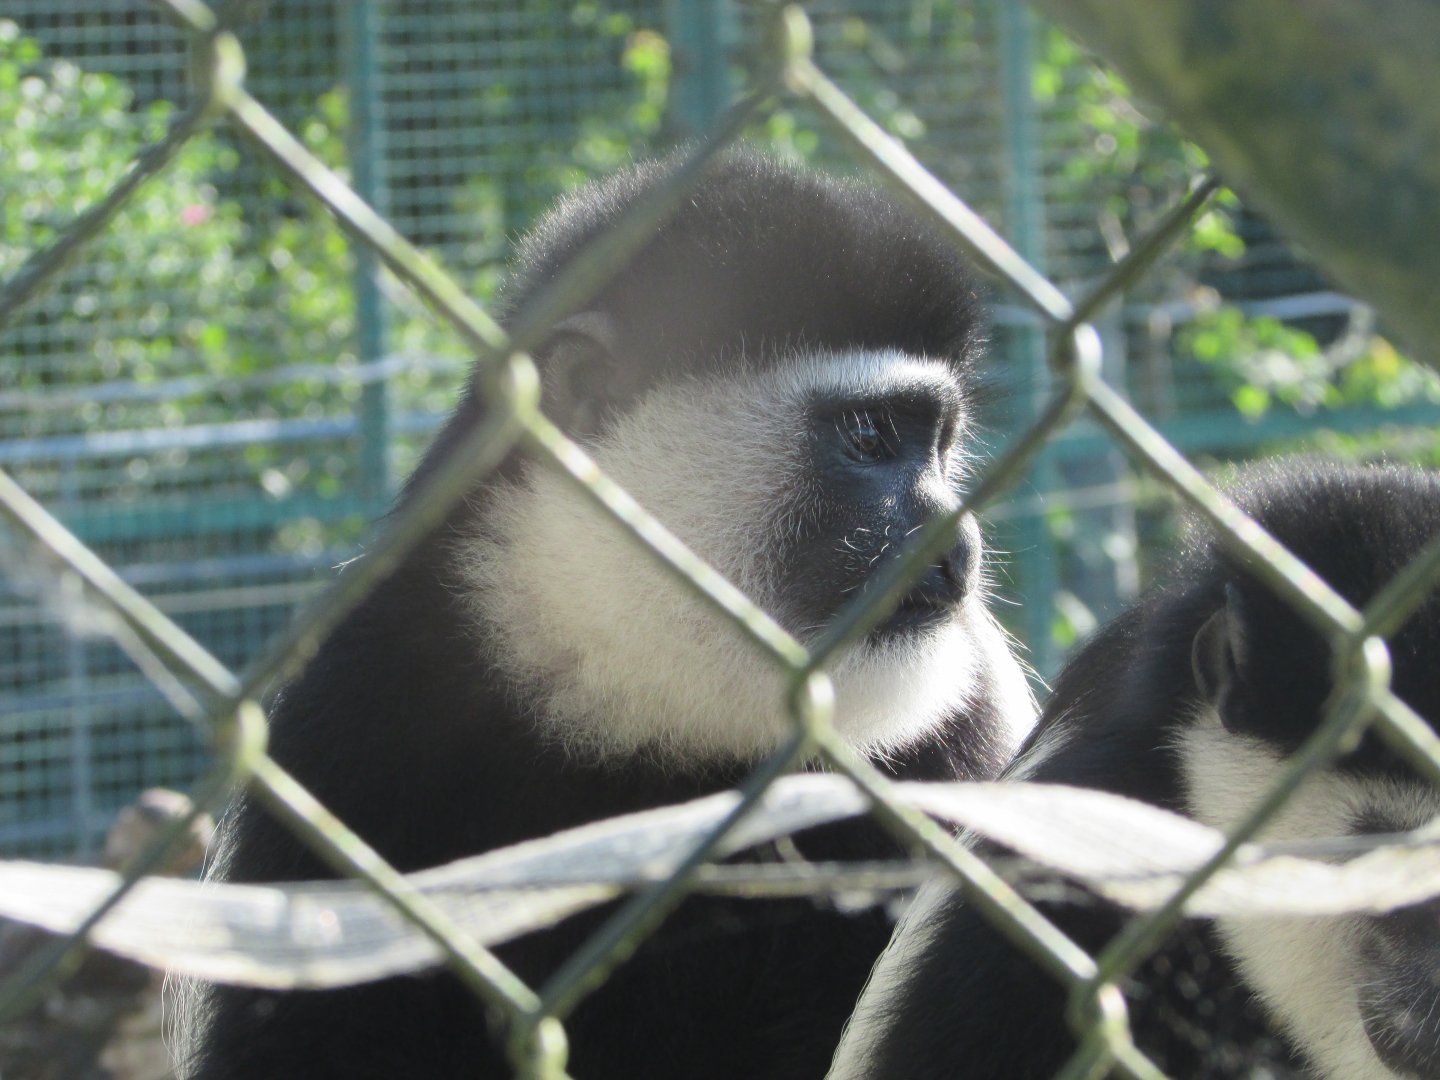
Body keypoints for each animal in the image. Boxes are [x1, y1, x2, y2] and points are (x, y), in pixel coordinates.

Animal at [182, 149, 1036, 1079]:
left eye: (942, 447)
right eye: (872, 437)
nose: (958, 549)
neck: (636, 690)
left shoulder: (961, 726)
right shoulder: (352, 703)